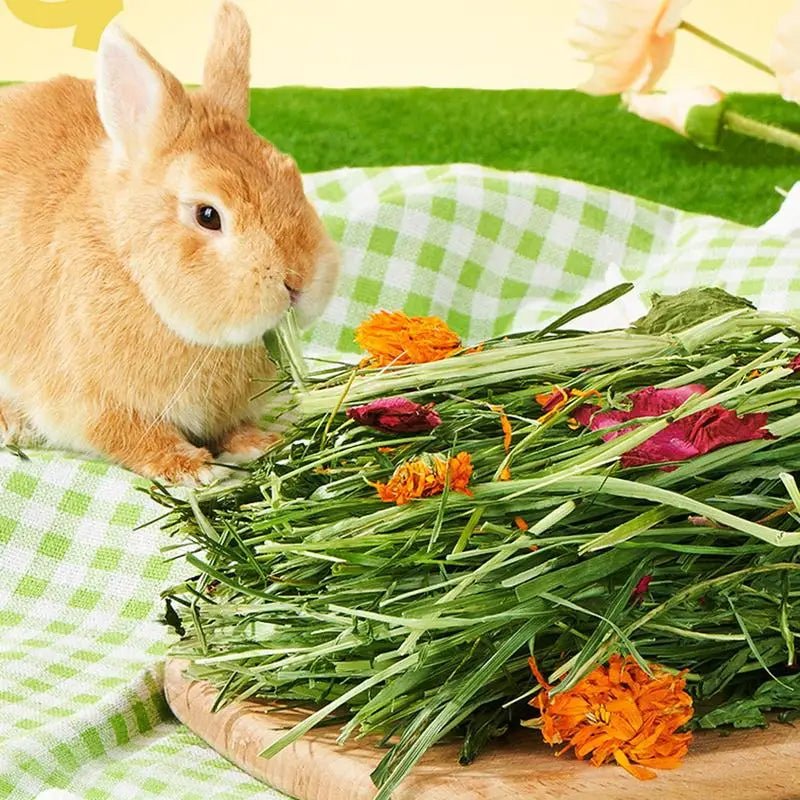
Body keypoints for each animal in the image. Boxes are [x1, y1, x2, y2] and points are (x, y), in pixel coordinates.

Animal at [0, 1, 339, 485]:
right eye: (207, 215)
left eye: (293, 178)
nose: (299, 280)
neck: (132, 273)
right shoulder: (93, 402)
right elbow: (134, 436)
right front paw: (192, 470)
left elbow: (233, 426)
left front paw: (258, 443)